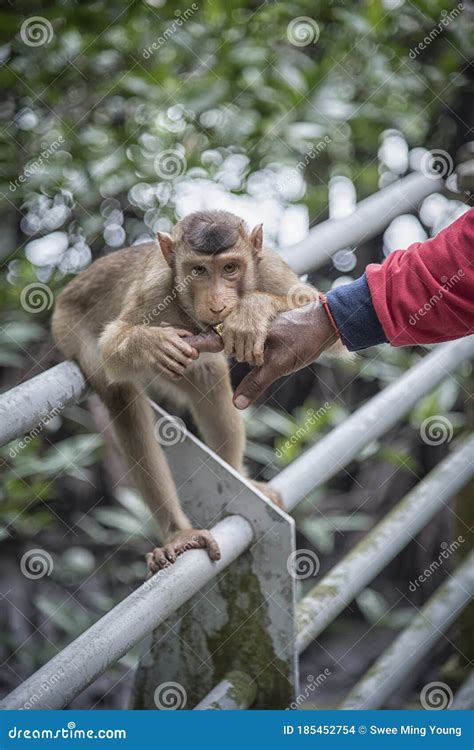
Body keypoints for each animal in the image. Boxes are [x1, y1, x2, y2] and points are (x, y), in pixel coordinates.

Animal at [51, 212, 332, 576]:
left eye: (230, 268)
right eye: (198, 270)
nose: (217, 304)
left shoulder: (270, 269)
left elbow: (320, 320)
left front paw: (251, 311)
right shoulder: (155, 288)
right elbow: (112, 344)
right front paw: (150, 343)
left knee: (206, 374)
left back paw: (236, 474)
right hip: (67, 324)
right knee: (119, 391)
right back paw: (178, 532)